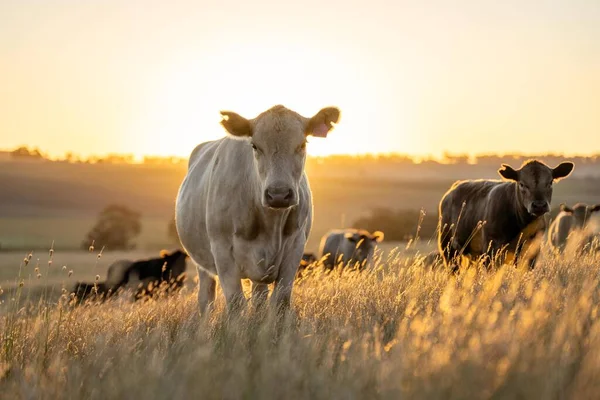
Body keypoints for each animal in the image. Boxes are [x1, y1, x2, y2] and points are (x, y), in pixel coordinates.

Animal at [176, 104, 340, 314]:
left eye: (302, 144)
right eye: (255, 146)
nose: (278, 194)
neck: (270, 222)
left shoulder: (295, 247)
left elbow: (280, 300)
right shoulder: (222, 251)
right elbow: (236, 303)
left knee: (259, 298)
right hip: (203, 263)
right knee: (206, 298)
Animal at [438, 161, 576, 270]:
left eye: (550, 182)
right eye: (521, 184)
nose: (539, 205)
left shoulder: (532, 252)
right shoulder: (491, 250)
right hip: (448, 248)